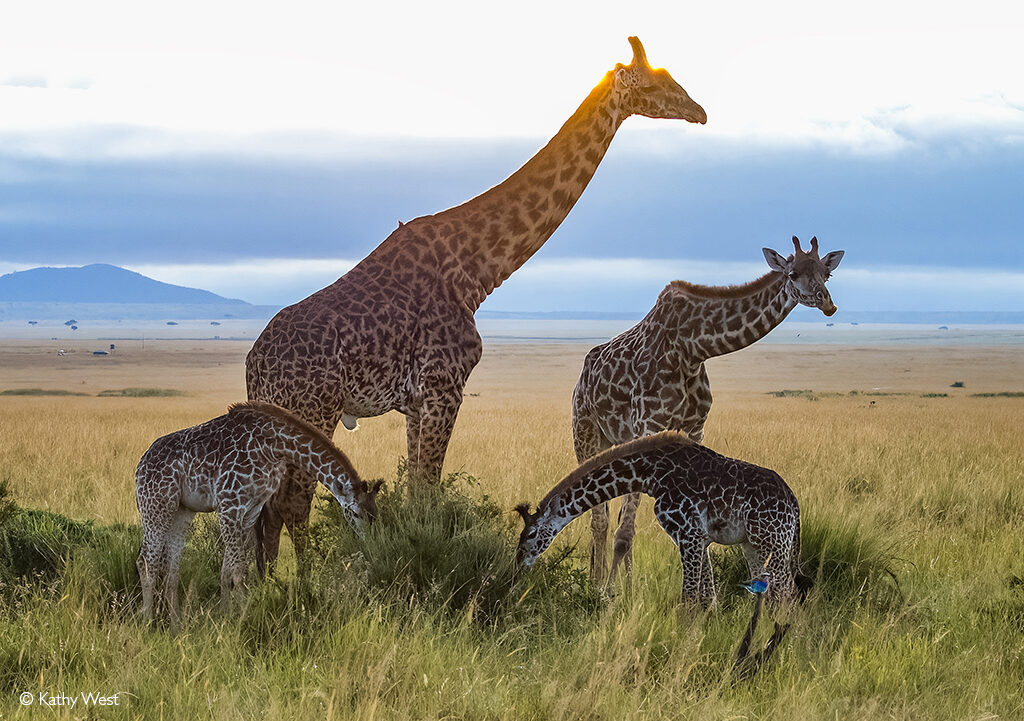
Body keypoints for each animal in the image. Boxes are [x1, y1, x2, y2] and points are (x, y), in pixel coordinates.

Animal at [132, 397, 380, 626]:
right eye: (355, 513)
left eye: (375, 515)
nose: (370, 544)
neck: (272, 446)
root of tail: (140, 465)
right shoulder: (229, 504)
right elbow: (239, 570)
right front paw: (243, 617)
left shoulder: (250, 509)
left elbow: (229, 570)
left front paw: (227, 616)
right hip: (156, 505)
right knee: (146, 561)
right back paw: (148, 622)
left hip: (181, 511)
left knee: (171, 570)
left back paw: (176, 625)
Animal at [246, 35, 708, 573]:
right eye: (655, 84)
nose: (699, 111)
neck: (477, 271)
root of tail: (254, 367)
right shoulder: (444, 386)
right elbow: (426, 494)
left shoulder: (416, 402)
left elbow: (416, 493)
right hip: (313, 412)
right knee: (291, 506)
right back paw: (298, 585)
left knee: (265, 509)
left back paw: (261, 584)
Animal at [516, 430, 802, 610]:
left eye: (531, 534)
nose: (519, 563)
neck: (650, 474)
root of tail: (795, 504)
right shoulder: (700, 538)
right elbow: (708, 599)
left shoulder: (689, 534)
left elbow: (689, 599)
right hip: (752, 545)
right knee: (774, 593)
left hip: (773, 541)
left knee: (788, 594)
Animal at [573, 236, 843, 585]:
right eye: (792, 273)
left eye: (827, 274)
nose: (828, 304)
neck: (693, 349)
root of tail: (583, 374)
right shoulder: (648, 424)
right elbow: (624, 529)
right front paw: (607, 594)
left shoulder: (695, 429)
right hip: (586, 432)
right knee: (601, 517)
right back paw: (597, 582)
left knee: (611, 510)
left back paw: (623, 583)